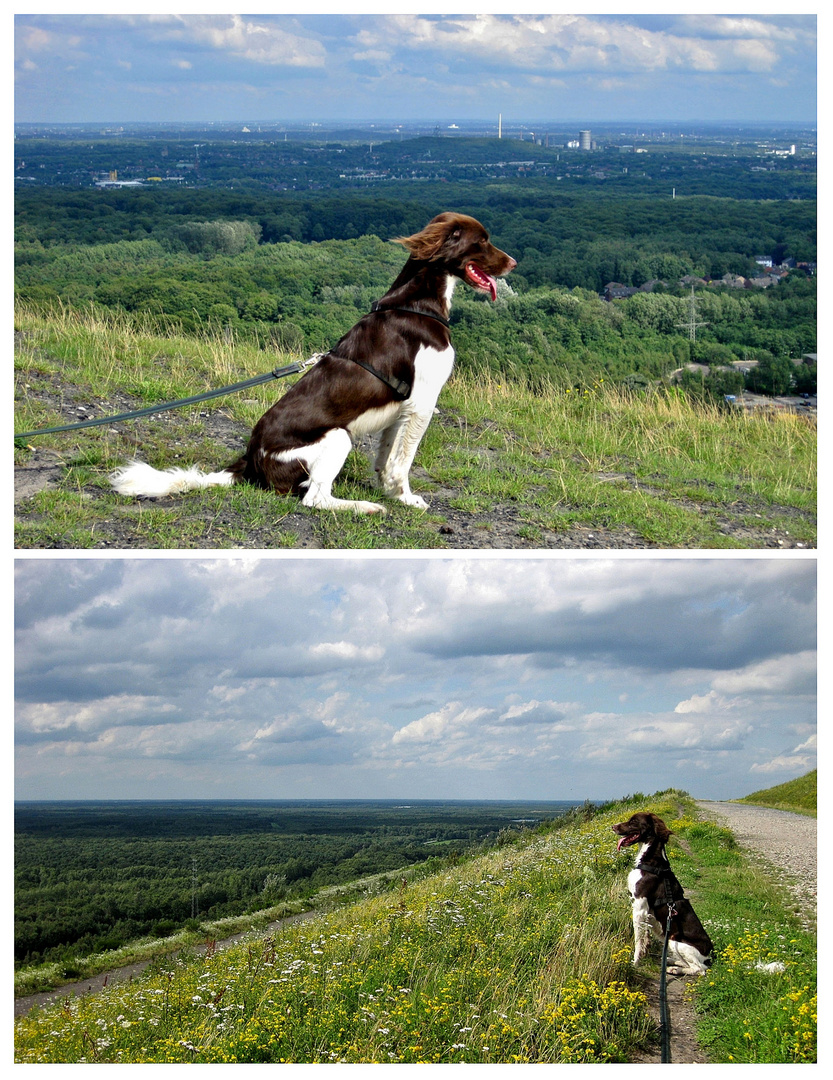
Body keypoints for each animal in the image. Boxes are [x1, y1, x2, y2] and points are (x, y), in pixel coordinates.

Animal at [110, 212, 514, 516]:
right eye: (482, 241)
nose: (513, 261)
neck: (416, 304)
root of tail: (251, 461)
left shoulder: (401, 411)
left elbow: (387, 459)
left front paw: (389, 491)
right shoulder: (422, 404)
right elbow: (403, 461)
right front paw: (406, 499)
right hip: (338, 435)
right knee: (314, 499)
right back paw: (364, 507)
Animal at [613, 812, 713, 980]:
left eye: (633, 821)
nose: (613, 826)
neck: (650, 861)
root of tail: (709, 954)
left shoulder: (639, 908)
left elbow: (638, 940)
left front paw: (635, 962)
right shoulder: (645, 913)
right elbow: (645, 937)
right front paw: (644, 955)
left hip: (675, 941)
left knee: (700, 969)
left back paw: (675, 969)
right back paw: (670, 961)